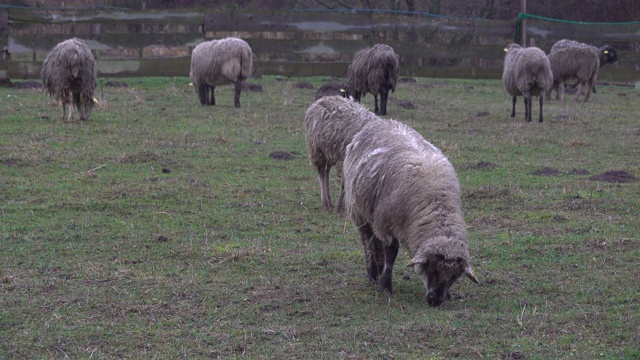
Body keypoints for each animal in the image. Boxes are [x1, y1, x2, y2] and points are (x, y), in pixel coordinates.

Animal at [344, 119, 476, 306]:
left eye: (454, 277)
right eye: (432, 269)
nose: (435, 301)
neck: (436, 203)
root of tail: (382, 121)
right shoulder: (386, 224)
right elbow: (391, 252)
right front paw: (386, 285)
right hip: (359, 211)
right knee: (368, 242)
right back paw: (372, 274)